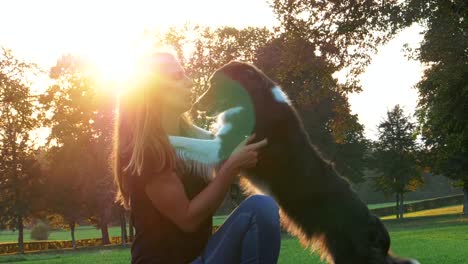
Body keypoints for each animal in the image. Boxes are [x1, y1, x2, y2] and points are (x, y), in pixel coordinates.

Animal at [171, 61, 416, 264]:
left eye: (216, 84)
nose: (194, 106)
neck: (256, 98)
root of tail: (376, 225)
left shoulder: (224, 148)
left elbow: (184, 141)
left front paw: (165, 139)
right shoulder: (221, 141)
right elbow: (196, 135)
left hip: (349, 255)